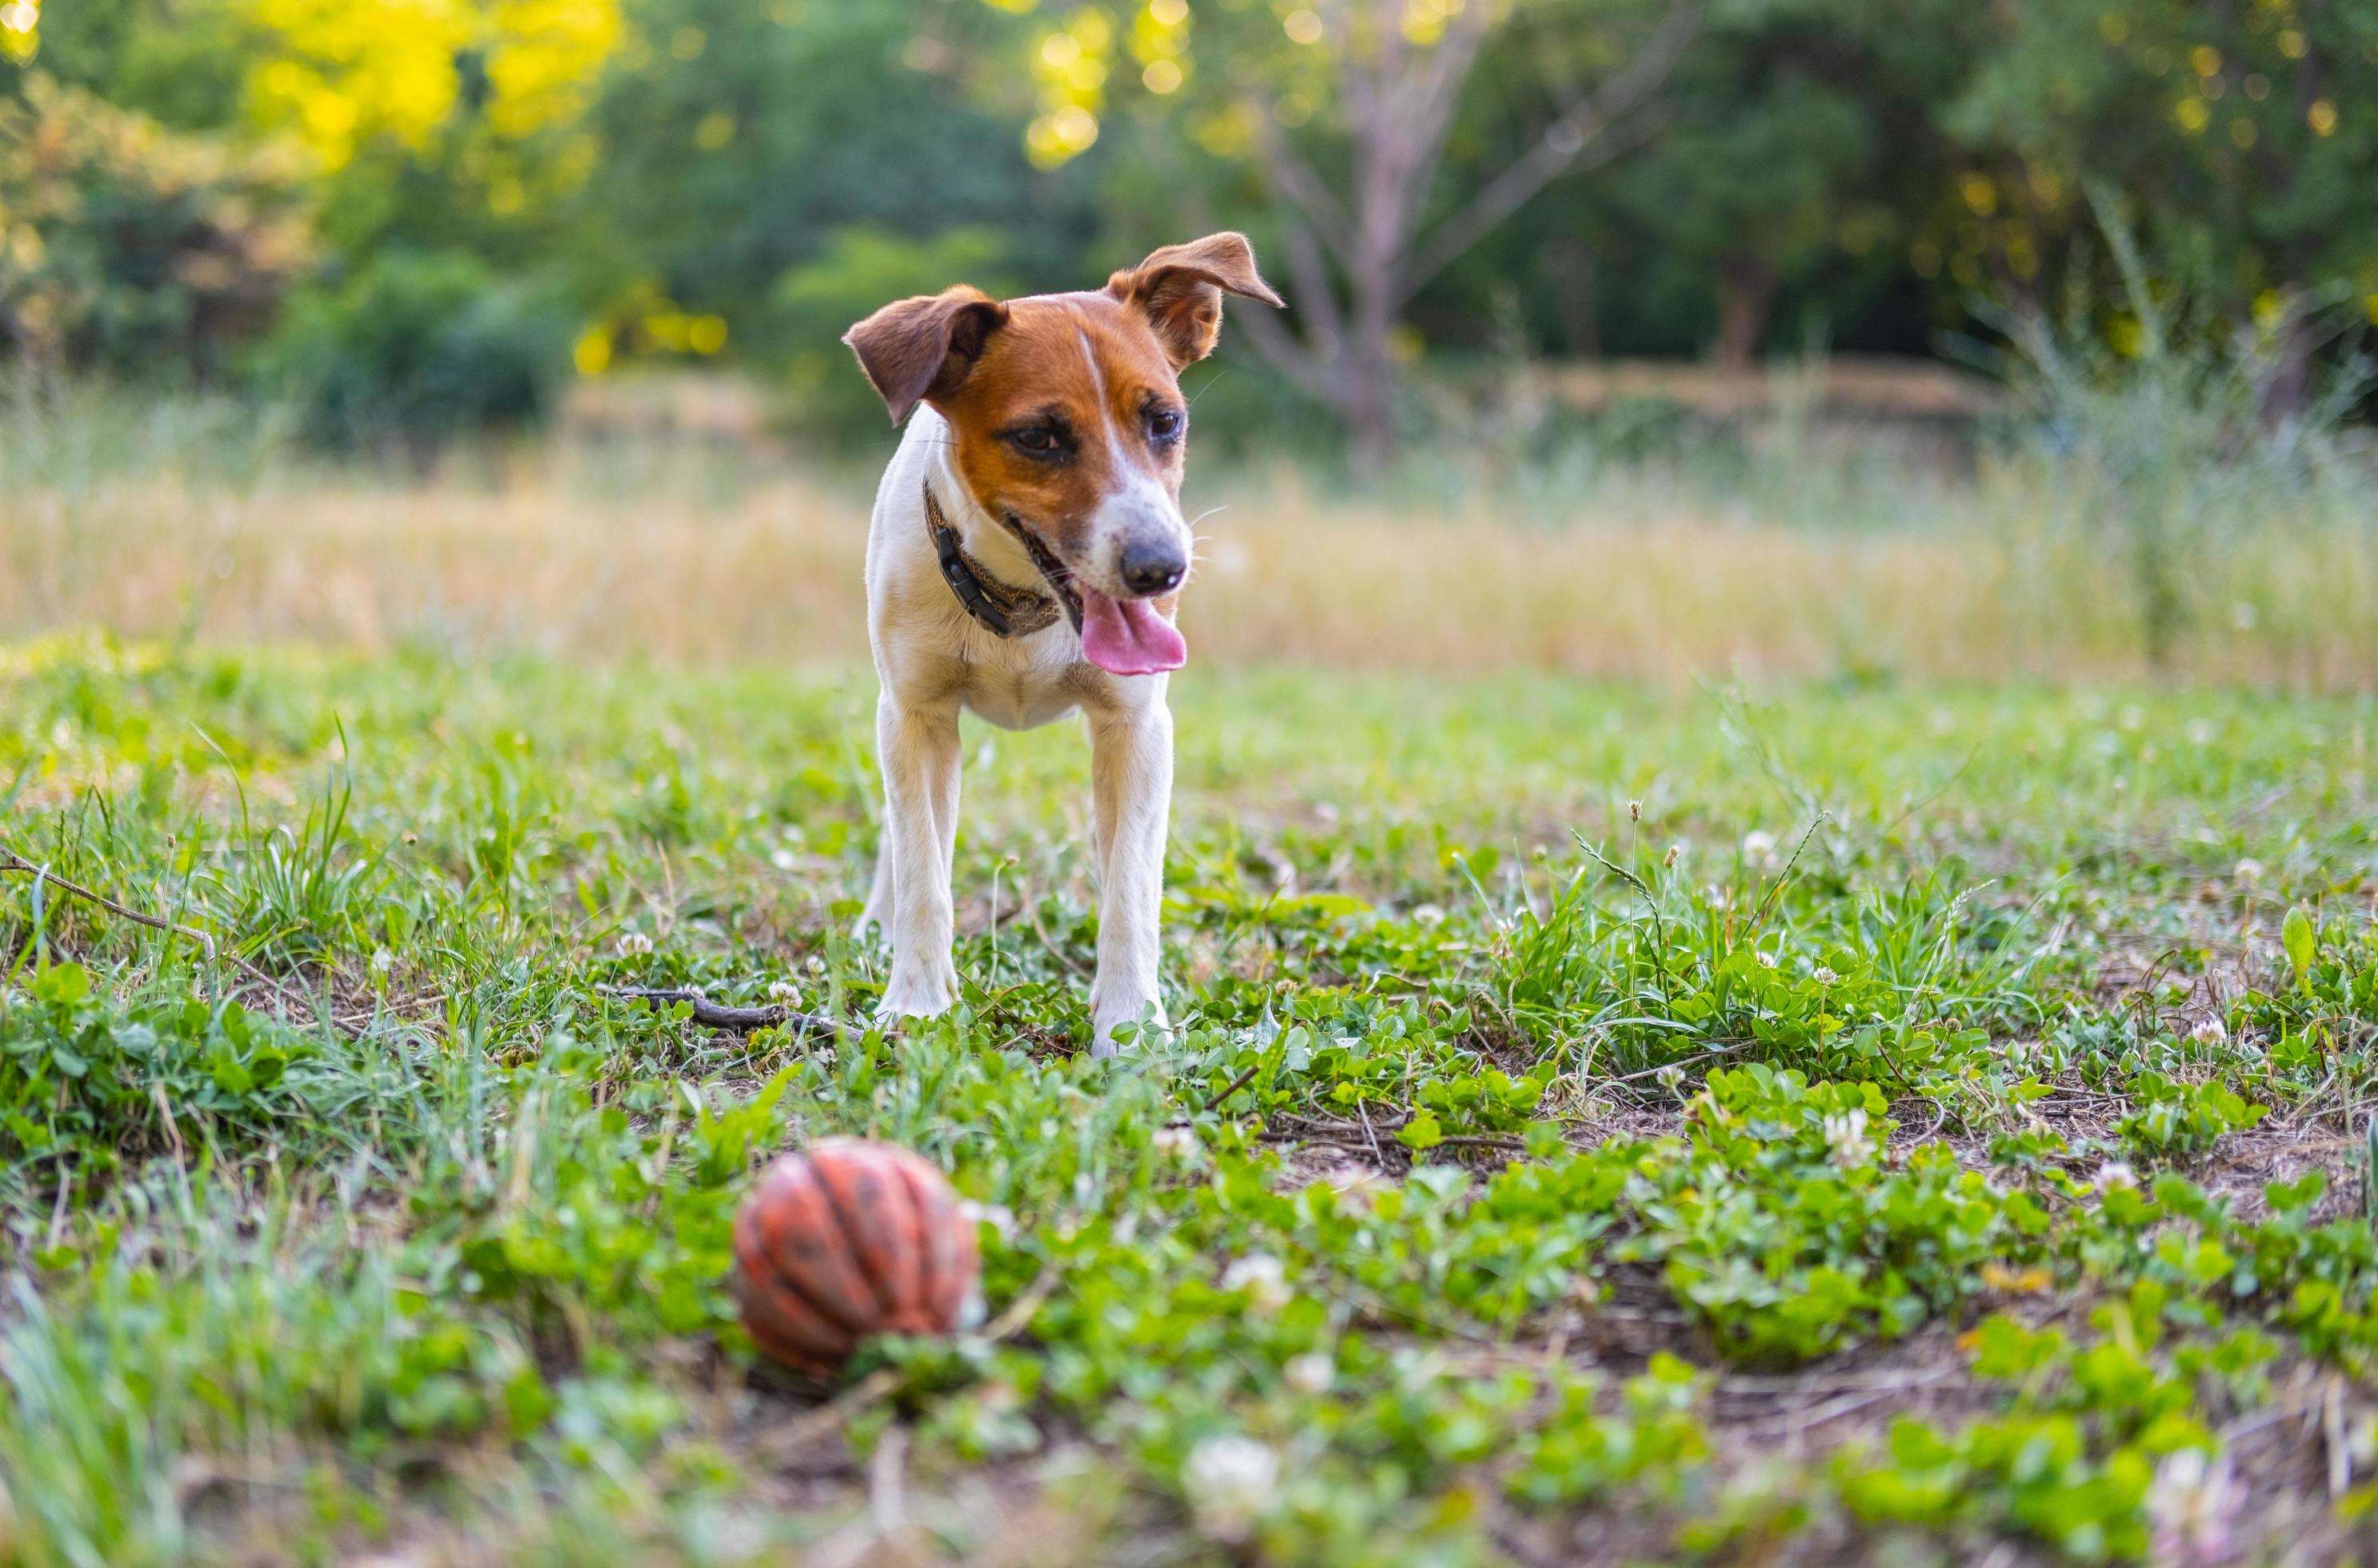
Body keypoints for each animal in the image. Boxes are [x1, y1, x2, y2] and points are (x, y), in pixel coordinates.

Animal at [842, 233, 1283, 1056]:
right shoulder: (916, 716)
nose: (1161, 568)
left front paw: (1131, 1024)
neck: (1023, 607)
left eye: (1165, 421)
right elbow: (923, 872)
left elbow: (1131, 890)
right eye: (1038, 437)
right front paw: (916, 1002)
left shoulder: (1137, 726)